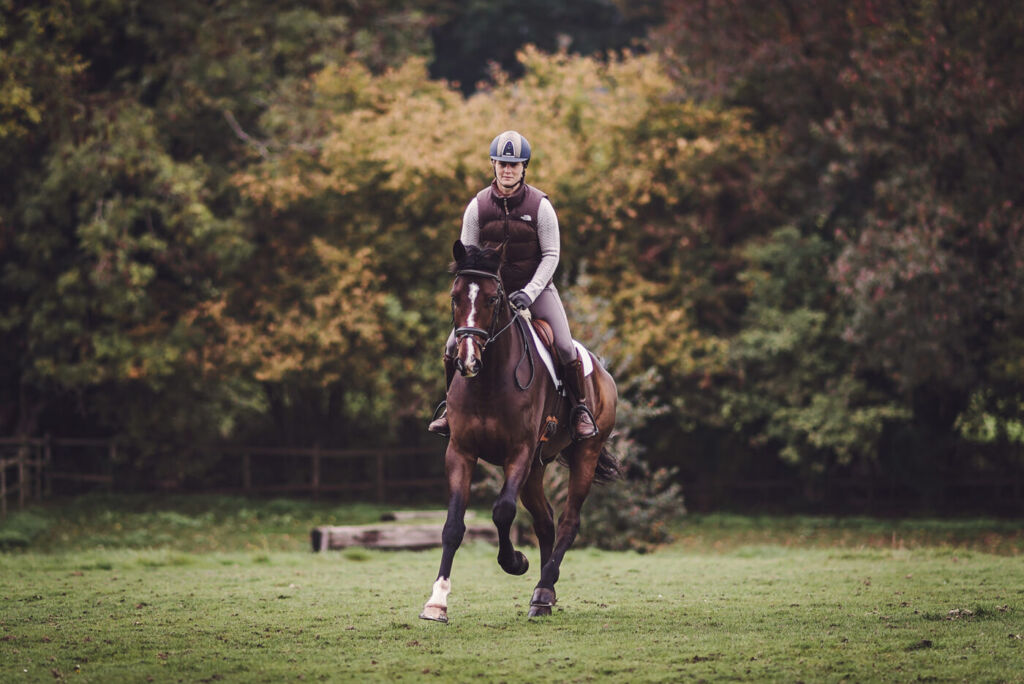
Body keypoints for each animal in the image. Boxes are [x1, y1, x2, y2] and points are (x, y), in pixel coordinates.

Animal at [420, 240, 619, 622]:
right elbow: (453, 525)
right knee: (546, 522)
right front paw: (437, 601)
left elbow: (502, 511)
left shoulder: (519, 453)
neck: (489, 380)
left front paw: (515, 562)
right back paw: (545, 594)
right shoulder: (461, 452)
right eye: (455, 297)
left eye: (491, 299)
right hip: (536, 470)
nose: (468, 360)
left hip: (583, 455)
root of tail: (602, 372)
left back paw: (542, 589)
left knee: (569, 521)